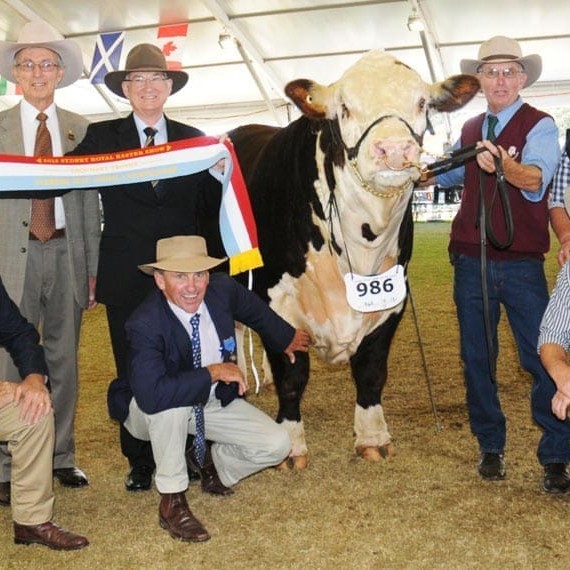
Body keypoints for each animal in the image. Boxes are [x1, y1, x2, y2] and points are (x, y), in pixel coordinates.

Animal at [226, 48, 474, 466]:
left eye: (422, 103)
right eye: (344, 107)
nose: (395, 150)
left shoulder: (392, 301)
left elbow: (371, 372)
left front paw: (372, 437)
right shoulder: (278, 301)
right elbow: (293, 376)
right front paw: (291, 445)